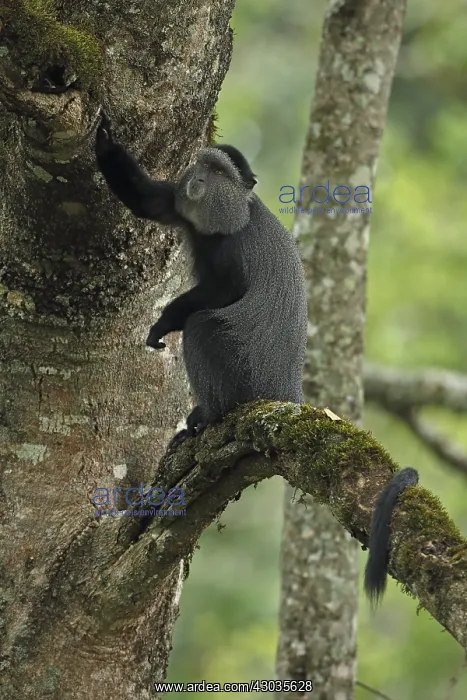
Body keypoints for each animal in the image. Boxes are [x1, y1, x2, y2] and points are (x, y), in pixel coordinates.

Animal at [95, 111, 308, 447]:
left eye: (219, 171)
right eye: (204, 166)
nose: (199, 179)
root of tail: (285, 392)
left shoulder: (236, 246)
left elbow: (226, 291)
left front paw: (165, 321)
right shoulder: (179, 203)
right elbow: (145, 200)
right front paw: (103, 141)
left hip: (243, 370)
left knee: (201, 328)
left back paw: (209, 414)